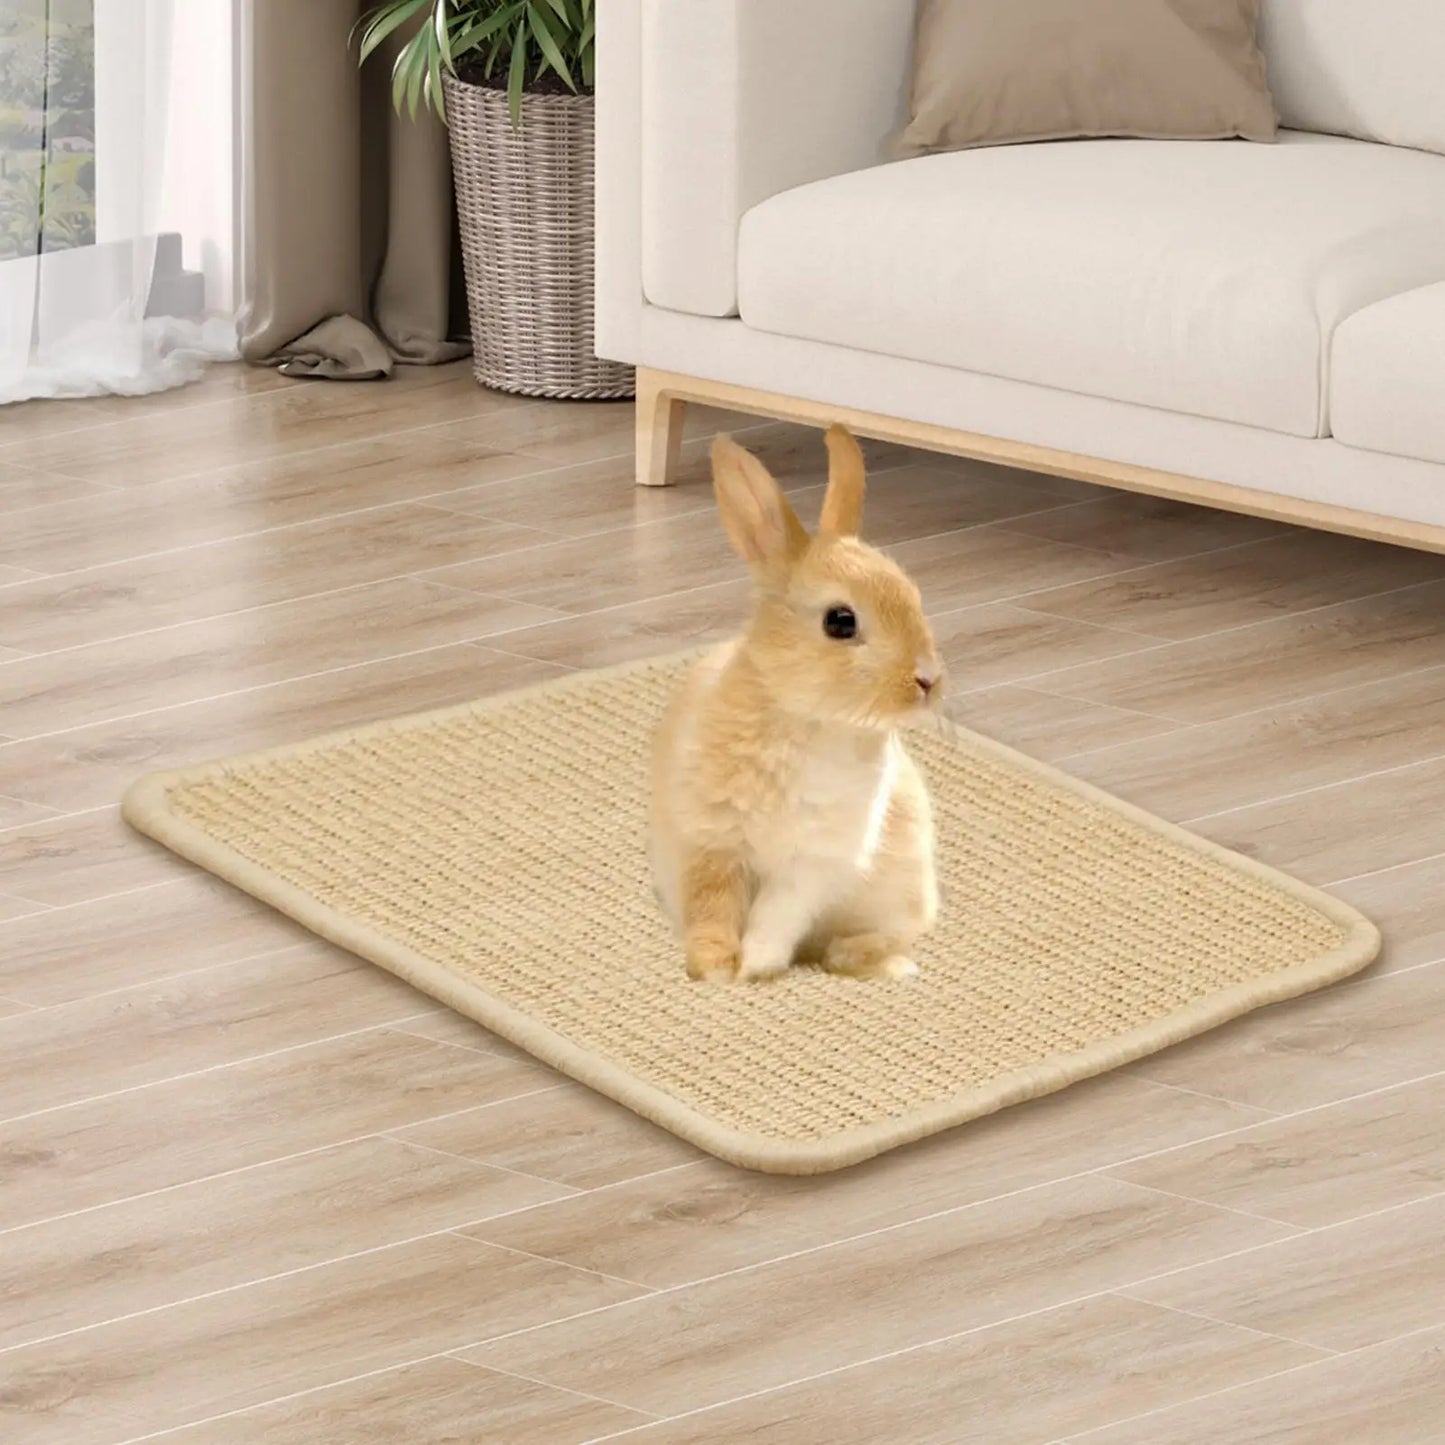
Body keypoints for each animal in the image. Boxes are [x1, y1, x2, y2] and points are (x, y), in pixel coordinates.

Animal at [649, 424, 943, 984]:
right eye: (840, 621)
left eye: (915, 596)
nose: (928, 681)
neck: (804, 720)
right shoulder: (713, 843)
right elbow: (712, 909)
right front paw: (714, 970)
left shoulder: (813, 864)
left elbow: (776, 916)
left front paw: (753, 967)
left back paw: (873, 963)